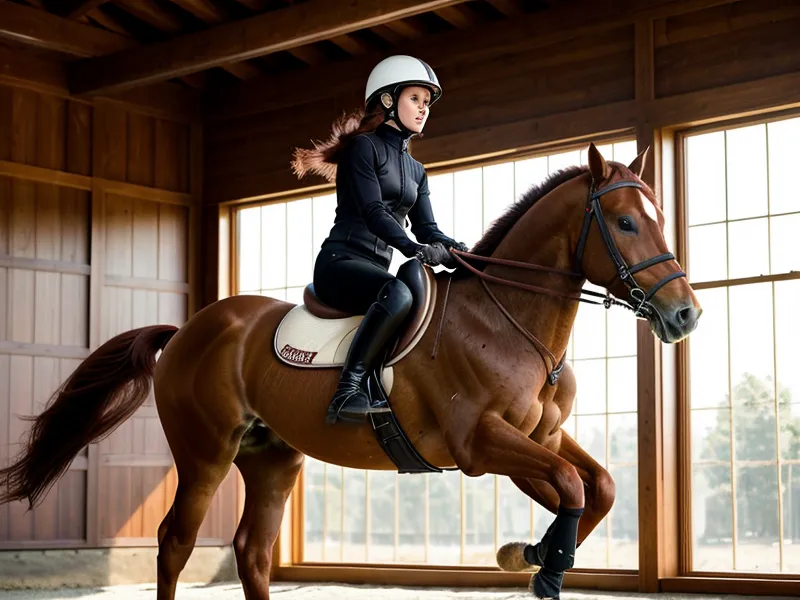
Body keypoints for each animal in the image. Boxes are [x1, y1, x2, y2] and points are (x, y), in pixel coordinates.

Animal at [0, 143, 701, 599]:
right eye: (625, 222)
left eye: (659, 219)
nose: (685, 314)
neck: (510, 321)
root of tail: (190, 330)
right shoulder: (482, 445)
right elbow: (573, 486)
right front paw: (539, 564)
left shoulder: (539, 438)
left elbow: (595, 488)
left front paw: (532, 555)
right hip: (205, 452)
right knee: (175, 542)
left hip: (272, 457)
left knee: (253, 552)